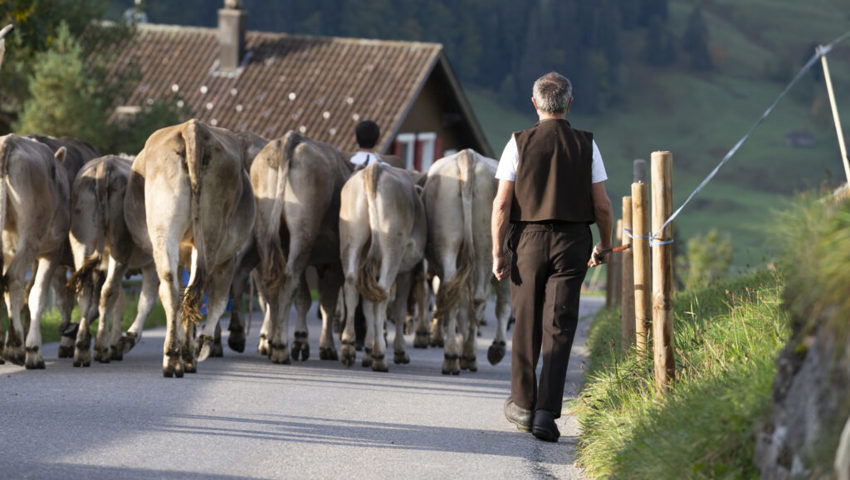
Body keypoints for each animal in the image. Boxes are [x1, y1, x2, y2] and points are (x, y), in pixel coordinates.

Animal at [123, 118, 255, 376]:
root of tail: (193, 128)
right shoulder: (227, 259)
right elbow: (217, 301)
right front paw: (201, 344)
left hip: (165, 233)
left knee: (174, 290)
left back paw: (174, 357)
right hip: (209, 235)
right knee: (195, 293)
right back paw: (187, 355)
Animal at [420, 150, 506, 376]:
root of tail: (467, 156)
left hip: (451, 243)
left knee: (456, 294)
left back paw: (454, 356)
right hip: (484, 246)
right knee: (474, 297)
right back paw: (464, 354)